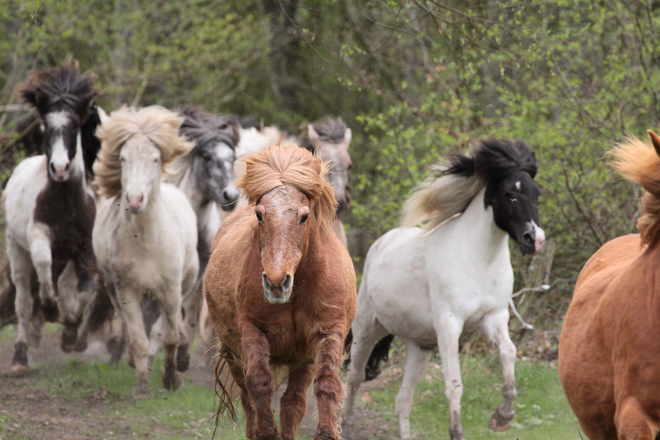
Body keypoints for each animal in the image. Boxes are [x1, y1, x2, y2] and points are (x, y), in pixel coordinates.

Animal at [2, 56, 100, 370]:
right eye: (46, 125)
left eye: (73, 126)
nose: (59, 168)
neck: (66, 201)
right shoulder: (39, 236)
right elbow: (43, 269)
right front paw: (50, 308)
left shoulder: (84, 248)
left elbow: (85, 290)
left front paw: (70, 329)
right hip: (17, 250)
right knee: (23, 300)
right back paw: (20, 355)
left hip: (64, 257)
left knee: (60, 283)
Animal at [92, 106, 199, 396]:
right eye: (123, 158)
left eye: (154, 159)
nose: (135, 199)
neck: (146, 241)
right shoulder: (127, 290)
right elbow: (139, 338)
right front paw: (142, 386)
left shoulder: (170, 290)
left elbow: (170, 337)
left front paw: (172, 380)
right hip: (114, 287)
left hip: (186, 281)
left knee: (176, 326)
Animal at [205, 145, 356, 440]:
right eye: (260, 215)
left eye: (304, 216)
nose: (276, 282)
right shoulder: (253, 330)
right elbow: (258, 383)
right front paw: (265, 432)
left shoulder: (328, 333)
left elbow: (327, 384)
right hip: (233, 351)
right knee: (247, 398)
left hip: (302, 360)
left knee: (292, 403)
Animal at [342, 138, 544, 440]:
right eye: (509, 193)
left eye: (536, 193)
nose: (535, 239)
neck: (479, 259)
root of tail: (381, 243)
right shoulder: (450, 324)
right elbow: (454, 383)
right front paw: (458, 431)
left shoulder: (493, 317)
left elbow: (509, 352)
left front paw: (503, 417)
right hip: (367, 329)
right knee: (353, 379)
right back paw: (345, 427)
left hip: (420, 347)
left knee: (403, 400)